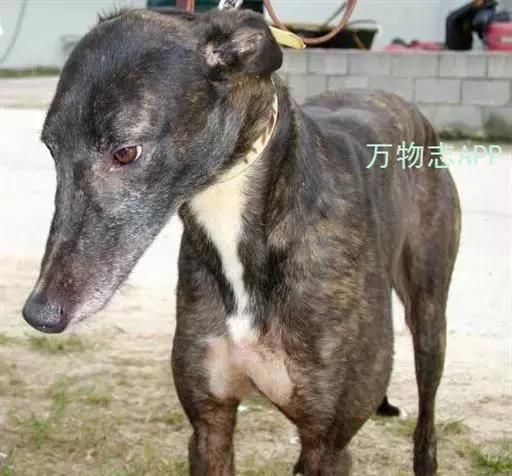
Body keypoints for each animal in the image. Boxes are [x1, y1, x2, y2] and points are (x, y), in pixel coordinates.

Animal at [22, 8, 461, 475]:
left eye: (126, 152)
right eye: (50, 149)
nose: (40, 313)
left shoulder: (330, 444)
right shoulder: (209, 423)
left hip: (429, 317)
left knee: (426, 423)